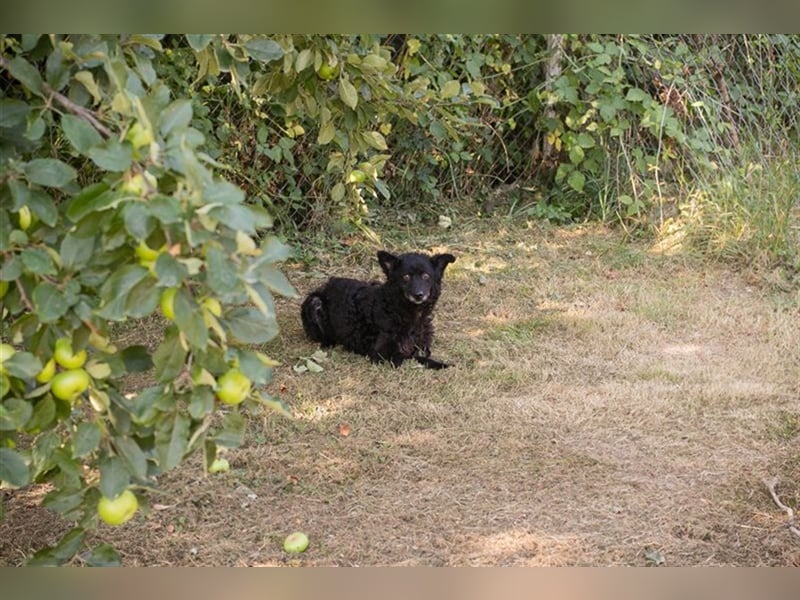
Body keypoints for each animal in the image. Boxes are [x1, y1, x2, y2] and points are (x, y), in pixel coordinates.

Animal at [302, 250, 456, 370]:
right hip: (315, 303)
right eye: (406, 277)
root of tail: (326, 285)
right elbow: (411, 357)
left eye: (426, 276)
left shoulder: (422, 346)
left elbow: (422, 353)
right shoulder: (382, 354)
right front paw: (440, 364)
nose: (419, 295)